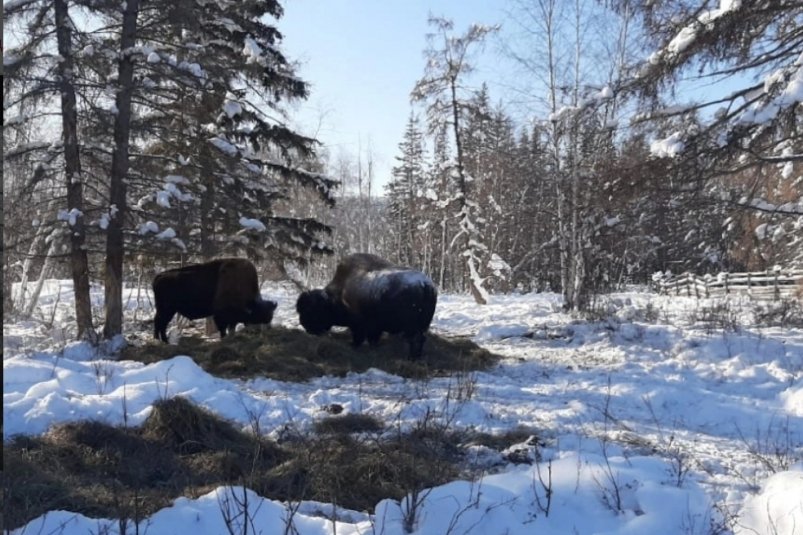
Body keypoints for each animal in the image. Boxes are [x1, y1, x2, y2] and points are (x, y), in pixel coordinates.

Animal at [296, 254, 436, 360]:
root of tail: (424, 284)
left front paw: (355, 346)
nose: (305, 325)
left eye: (310, 309)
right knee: (420, 339)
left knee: (415, 339)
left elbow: (363, 337)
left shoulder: (362, 326)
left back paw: (412, 357)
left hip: (411, 327)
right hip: (422, 325)